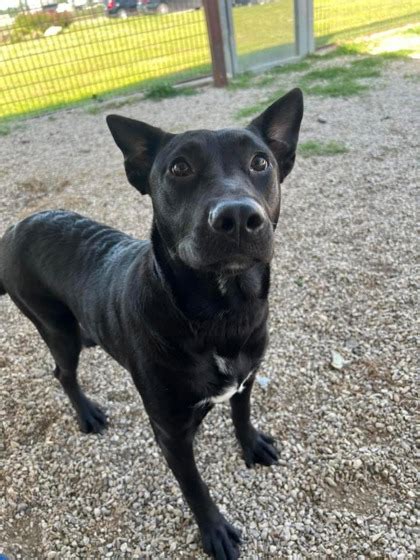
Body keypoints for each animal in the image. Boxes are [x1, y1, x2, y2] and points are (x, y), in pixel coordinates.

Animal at [0, 88, 302, 560]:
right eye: (179, 167)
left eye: (260, 162)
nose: (237, 217)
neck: (222, 314)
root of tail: (14, 227)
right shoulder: (171, 433)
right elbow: (195, 487)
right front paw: (214, 530)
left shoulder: (247, 377)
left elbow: (241, 413)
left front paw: (251, 443)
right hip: (56, 329)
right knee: (62, 372)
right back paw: (88, 414)